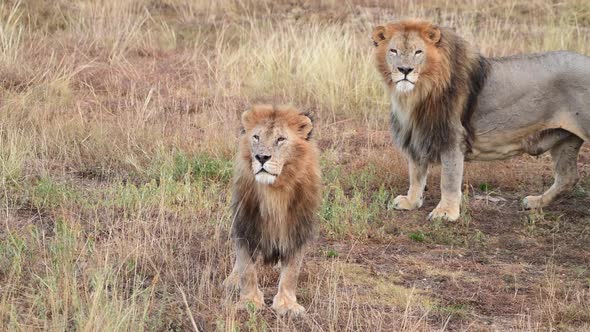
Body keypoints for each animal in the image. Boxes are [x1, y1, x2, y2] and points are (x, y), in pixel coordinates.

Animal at [224, 105, 322, 316]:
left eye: (281, 139)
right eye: (256, 137)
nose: (261, 157)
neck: (274, 191)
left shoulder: (296, 230)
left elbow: (291, 271)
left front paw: (287, 304)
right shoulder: (245, 225)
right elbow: (246, 269)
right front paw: (249, 302)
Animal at [374, 18, 590, 220]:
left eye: (418, 52)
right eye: (393, 51)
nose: (405, 70)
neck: (415, 94)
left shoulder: (452, 137)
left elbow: (449, 179)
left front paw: (446, 213)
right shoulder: (417, 134)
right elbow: (416, 173)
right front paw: (411, 202)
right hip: (565, 139)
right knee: (568, 178)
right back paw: (536, 202)